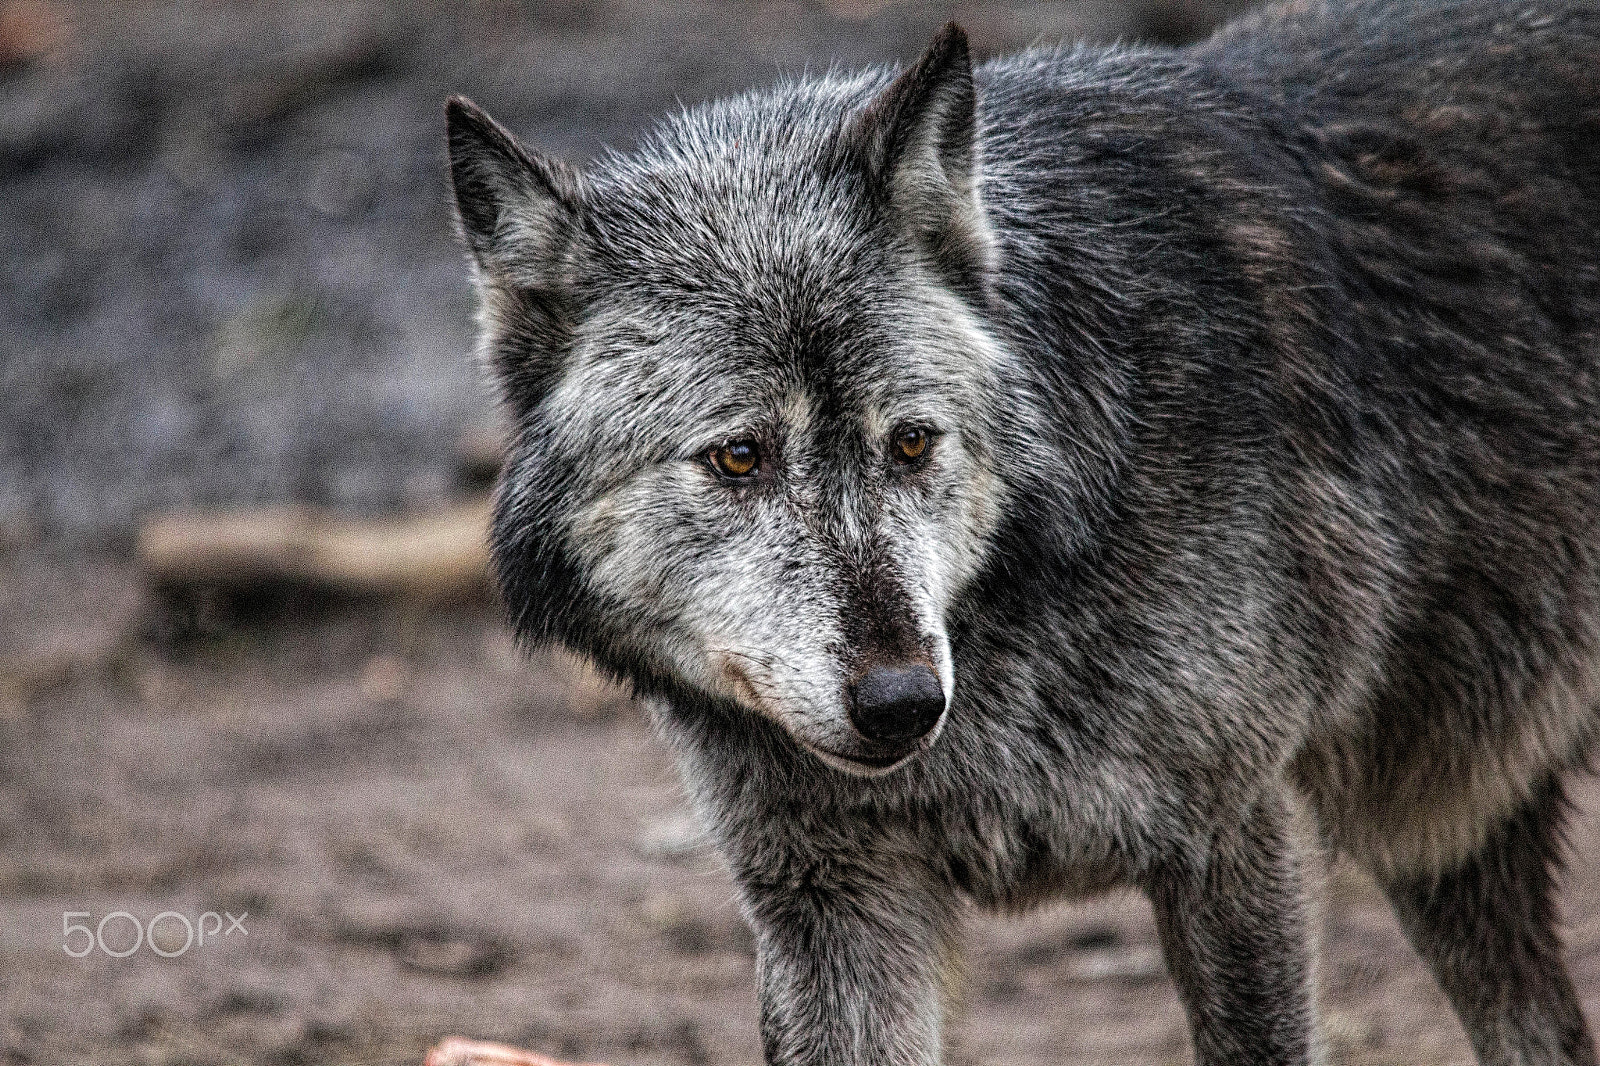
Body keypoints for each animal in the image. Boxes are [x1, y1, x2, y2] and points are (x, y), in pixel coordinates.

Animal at [444, 1, 1600, 1062]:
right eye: (739, 457)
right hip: (1444, 838)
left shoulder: (1237, 840)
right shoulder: (835, 913)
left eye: (913, 442)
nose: (902, 703)